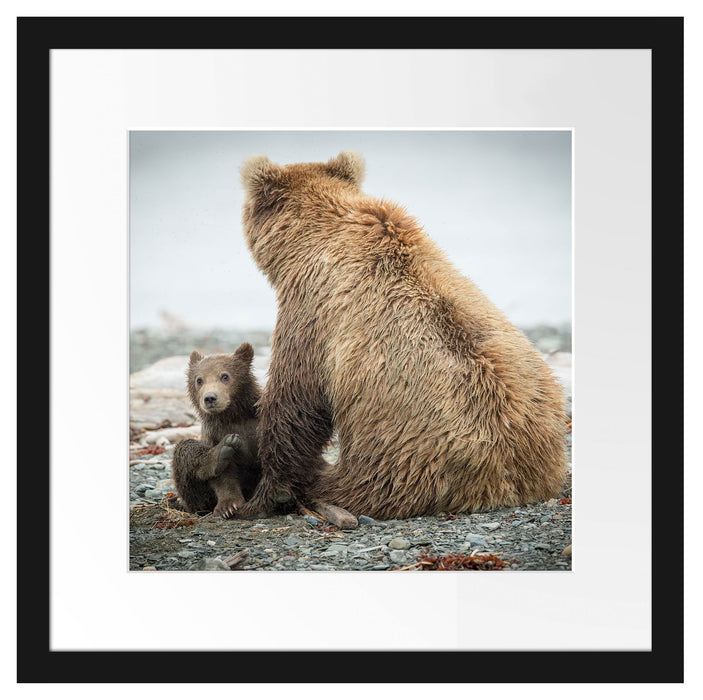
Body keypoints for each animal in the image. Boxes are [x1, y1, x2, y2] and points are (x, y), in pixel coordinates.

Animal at [171, 343, 262, 518]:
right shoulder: (215, 434)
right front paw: (228, 506)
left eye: (225, 376)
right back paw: (220, 453)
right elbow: (223, 477)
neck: (233, 416)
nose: (210, 398)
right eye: (199, 380)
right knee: (185, 448)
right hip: (197, 498)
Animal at [235, 151, 568, 521]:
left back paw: (319, 487)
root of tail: (510, 482)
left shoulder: (311, 309)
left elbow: (295, 400)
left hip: (403, 457)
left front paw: (263, 495)